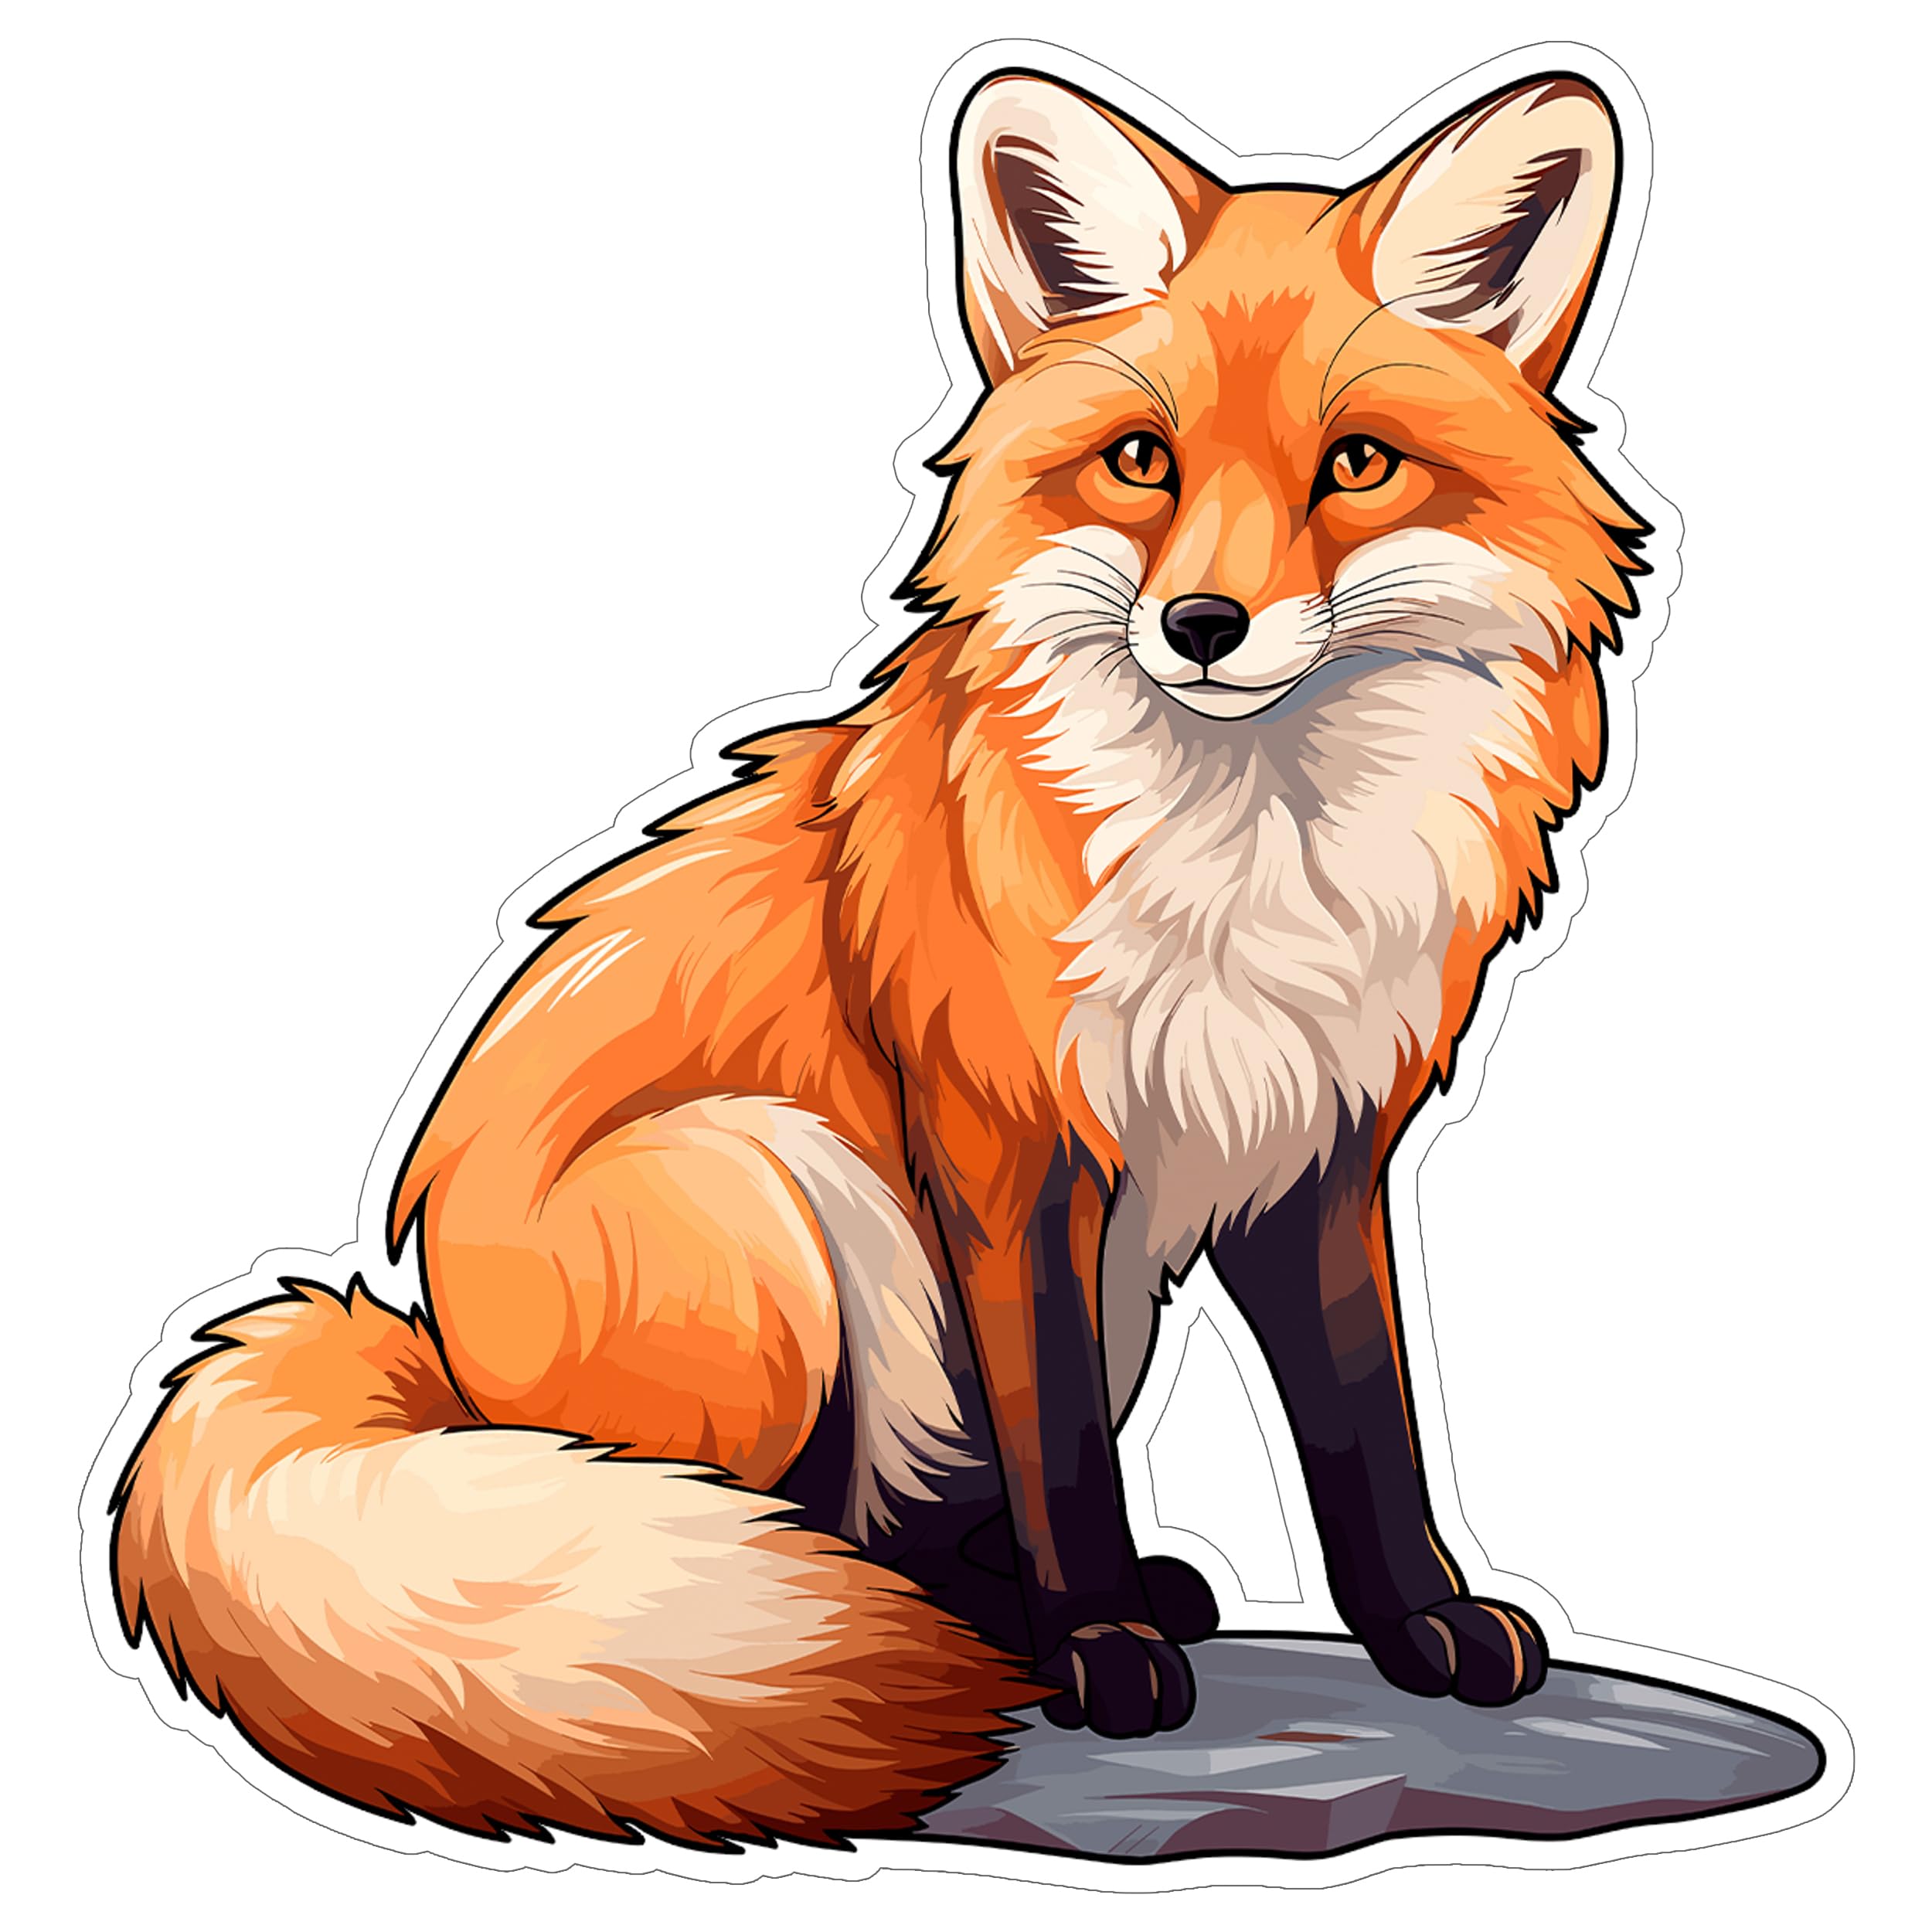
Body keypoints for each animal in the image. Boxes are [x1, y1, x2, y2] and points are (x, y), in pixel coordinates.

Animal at [110, 67, 1646, 1848]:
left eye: (1357, 465)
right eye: (1141, 460)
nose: (1200, 626)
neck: (1253, 858)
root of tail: (429, 1355)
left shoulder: (1315, 1147)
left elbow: (1362, 1430)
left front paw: (1420, 1623)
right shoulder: (1006, 1150)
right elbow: (1061, 1452)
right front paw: (1095, 1644)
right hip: (770, 1190)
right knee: (778, 1537)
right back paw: (929, 1634)